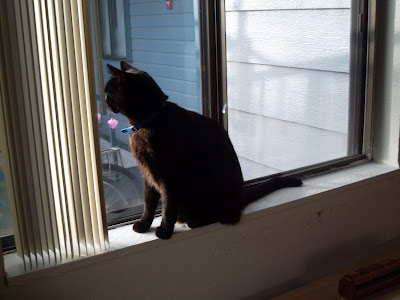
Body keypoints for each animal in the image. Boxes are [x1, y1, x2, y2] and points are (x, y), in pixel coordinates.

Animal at [104, 61, 302, 239]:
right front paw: (144, 225)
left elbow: (168, 205)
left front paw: (165, 231)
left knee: (226, 218)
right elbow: (149, 202)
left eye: (109, 92)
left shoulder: (170, 176)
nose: (104, 100)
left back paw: (192, 221)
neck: (148, 122)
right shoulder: (147, 173)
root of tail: (241, 197)